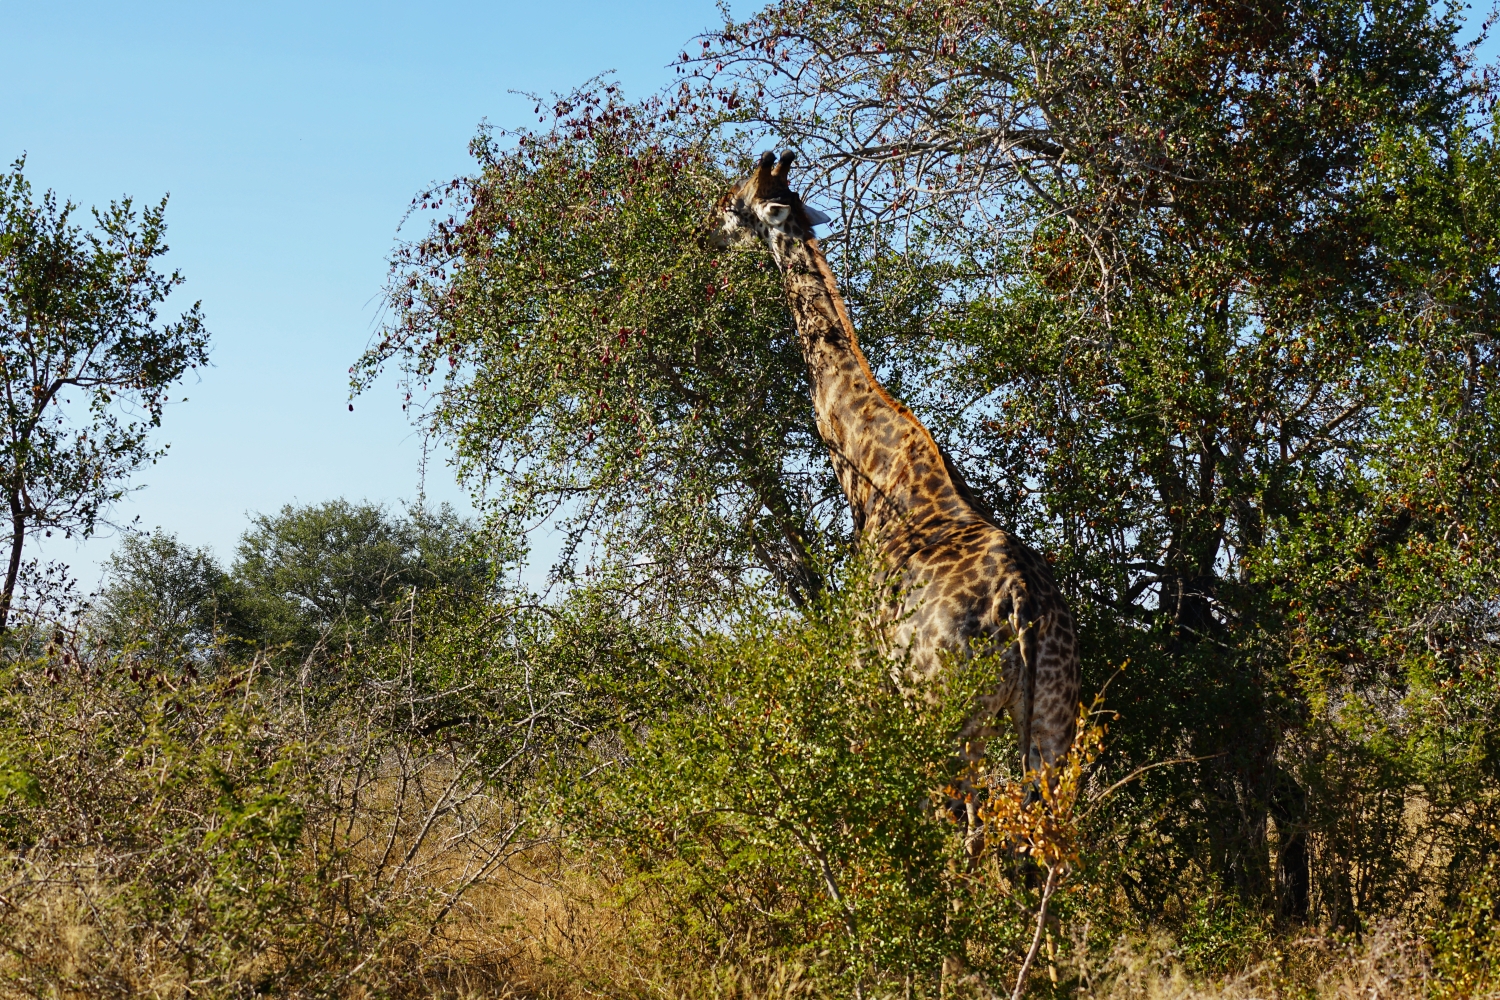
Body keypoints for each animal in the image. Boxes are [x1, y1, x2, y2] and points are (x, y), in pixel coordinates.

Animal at [711, 152, 1080, 797]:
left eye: (738, 202)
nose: (710, 227)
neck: (867, 466)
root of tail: (1021, 603)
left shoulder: (865, 673)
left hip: (945, 717)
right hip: (1054, 722)